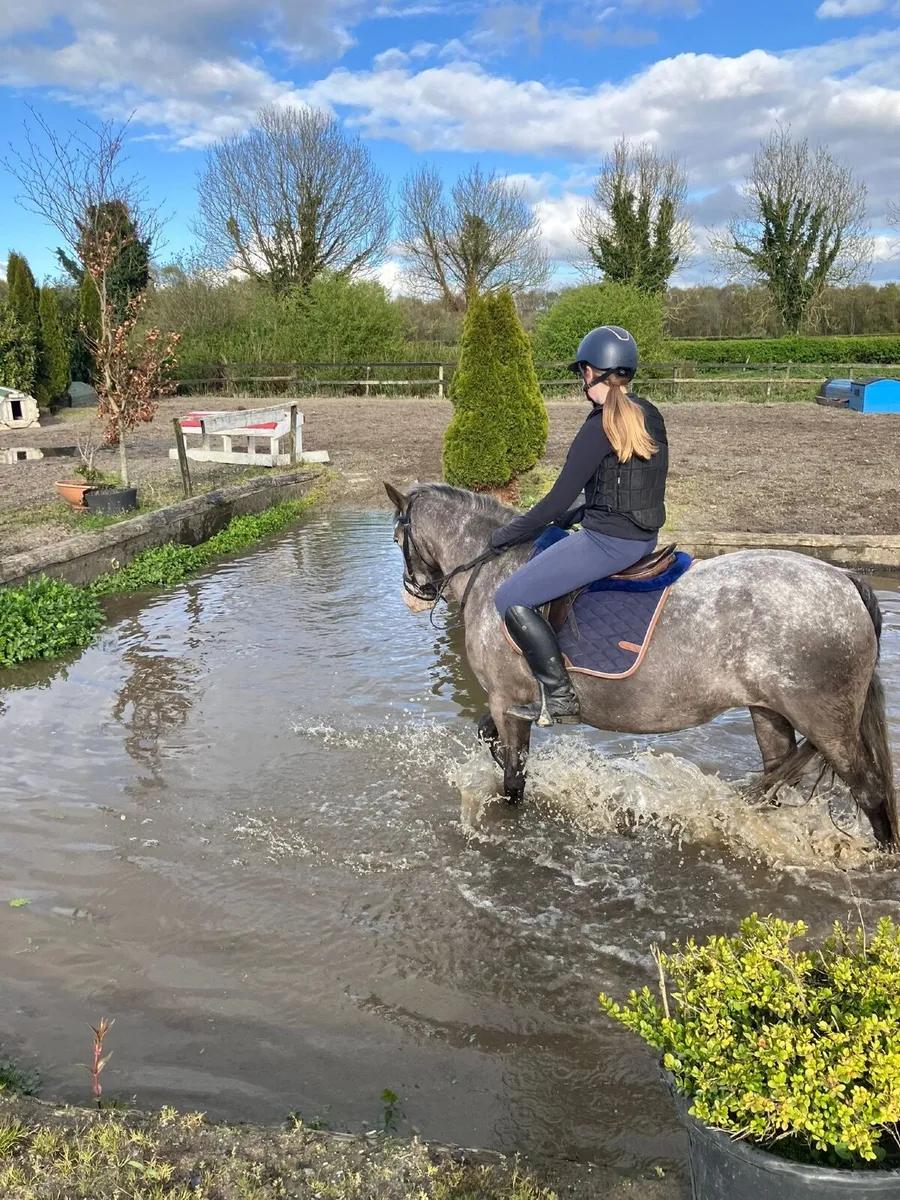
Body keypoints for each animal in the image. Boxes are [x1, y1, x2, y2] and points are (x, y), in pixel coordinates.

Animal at [384, 481, 899, 850]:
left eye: (397, 537)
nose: (413, 596)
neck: (494, 569)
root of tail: (843, 578)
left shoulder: (507, 701)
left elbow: (514, 779)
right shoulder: (507, 703)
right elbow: (487, 739)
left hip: (826, 721)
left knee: (870, 790)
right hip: (769, 712)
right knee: (777, 784)